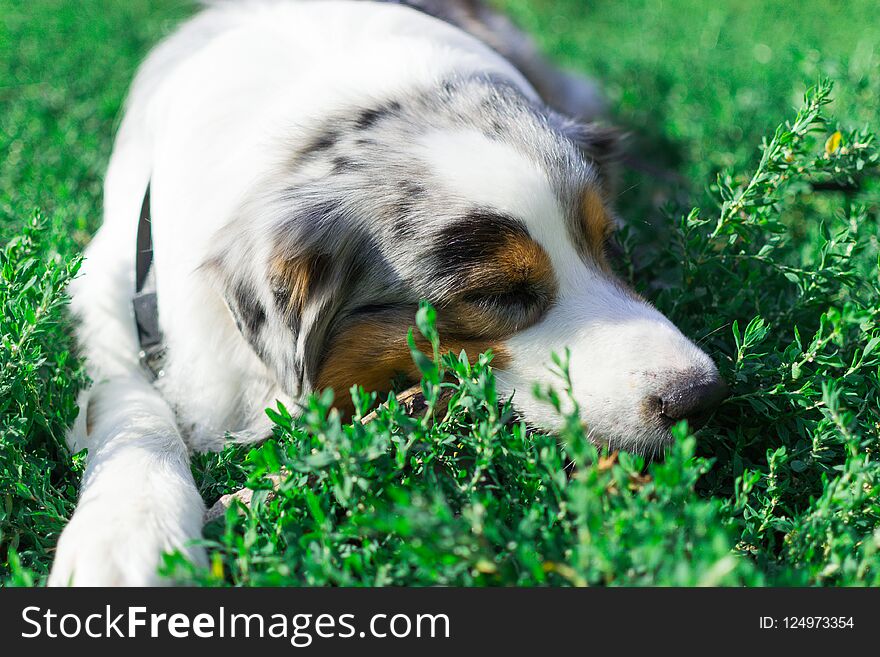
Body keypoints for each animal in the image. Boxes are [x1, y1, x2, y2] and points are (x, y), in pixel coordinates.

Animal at [48, 0, 720, 584]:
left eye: (609, 245)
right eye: (496, 293)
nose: (702, 395)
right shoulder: (112, 282)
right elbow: (128, 398)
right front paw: (128, 537)